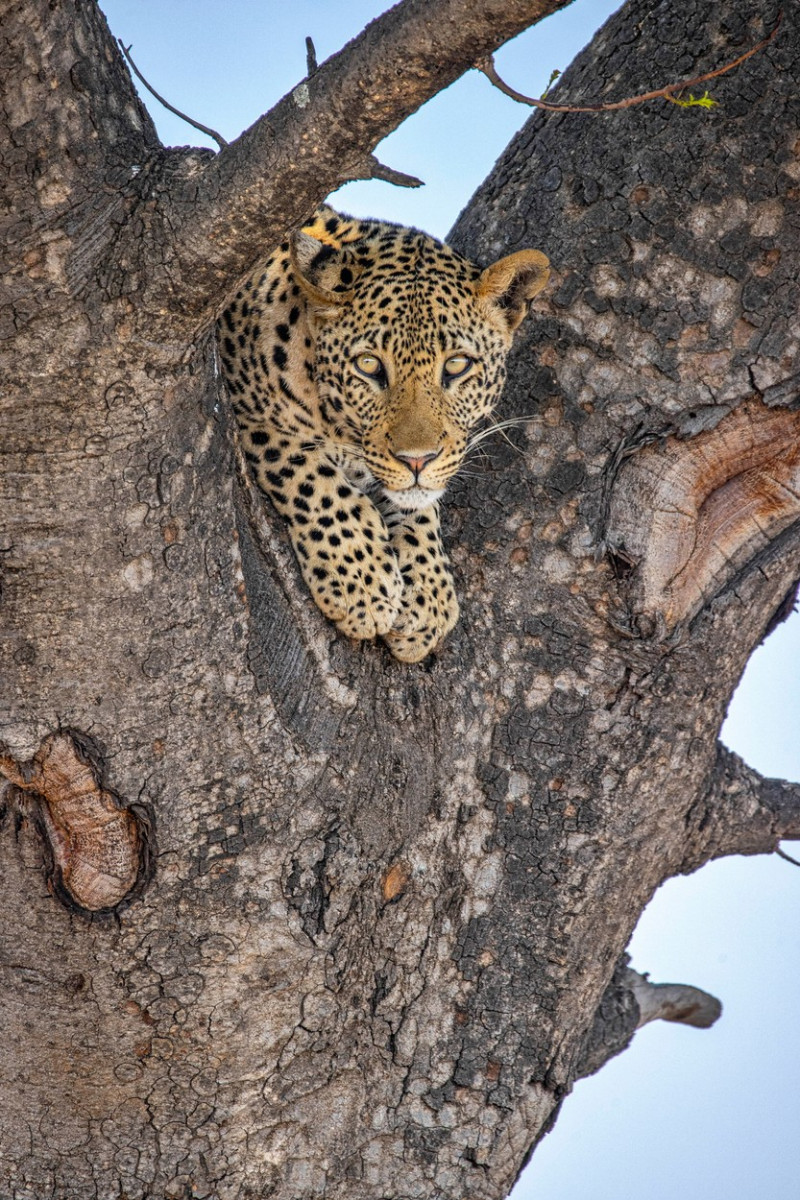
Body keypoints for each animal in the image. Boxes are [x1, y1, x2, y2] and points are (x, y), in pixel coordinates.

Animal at [219, 202, 551, 662]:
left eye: (456, 365)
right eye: (369, 365)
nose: (417, 460)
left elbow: (419, 504)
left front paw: (428, 596)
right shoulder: (249, 413)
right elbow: (309, 473)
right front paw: (360, 576)